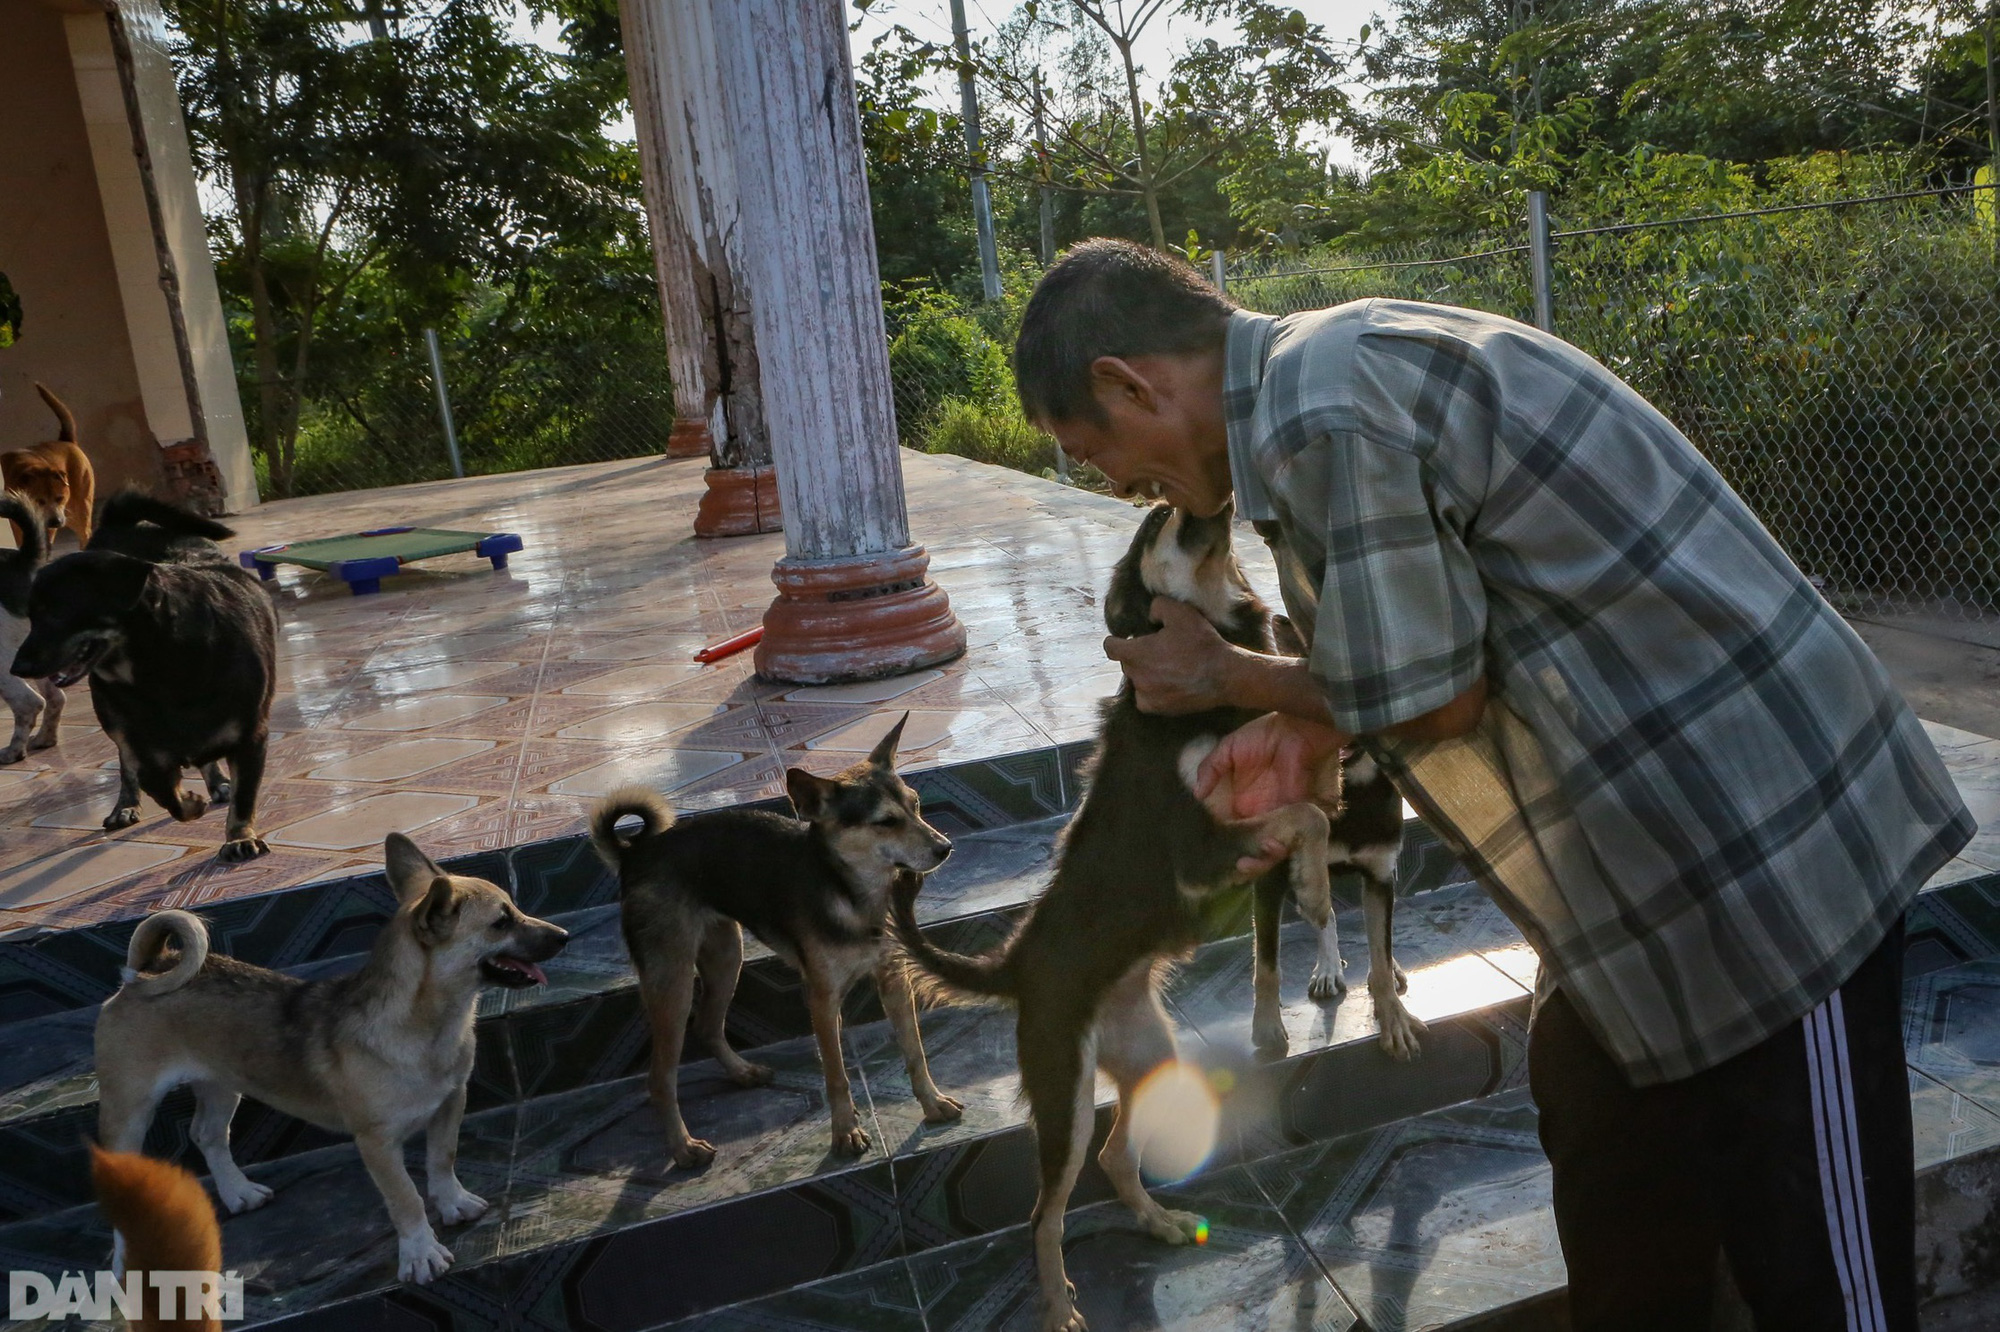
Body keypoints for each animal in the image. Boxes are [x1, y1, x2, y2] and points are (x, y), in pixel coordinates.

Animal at [1, 382, 94, 548]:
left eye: (60, 498)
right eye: (39, 501)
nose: (56, 521)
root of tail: (66, 441)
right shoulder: (18, 523)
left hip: (78, 509)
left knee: (85, 533)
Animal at [10, 492, 278, 856]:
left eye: (55, 614)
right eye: (31, 617)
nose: (16, 668)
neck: (161, 663)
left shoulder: (251, 736)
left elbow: (244, 796)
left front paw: (239, 837)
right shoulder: (142, 744)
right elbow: (160, 786)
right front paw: (190, 802)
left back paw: (218, 783)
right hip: (111, 717)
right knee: (126, 765)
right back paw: (125, 805)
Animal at [94, 836, 572, 1280]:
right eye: (501, 922)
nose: (564, 936)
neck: (428, 1026)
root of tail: (147, 970)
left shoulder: (450, 1105)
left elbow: (443, 1159)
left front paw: (453, 1203)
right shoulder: (377, 1143)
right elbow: (406, 1198)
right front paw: (420, 1252)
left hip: (221, 1083)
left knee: (207, 1134)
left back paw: (238, 1193)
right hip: (129, 1110)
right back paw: (124, 1259)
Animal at [588, 716, 964, 1160]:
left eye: (916, 805)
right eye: (885, 822)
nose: (945, 848)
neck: (853, 894)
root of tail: (635, 855)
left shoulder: (895, 981)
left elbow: (915, 1051)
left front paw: (932, 1103)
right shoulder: (821, 999)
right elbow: (836, 1074)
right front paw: (845, 1132)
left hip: (725, 957)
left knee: (708, 1026)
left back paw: (742, 1073)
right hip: (672, 982)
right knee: (660, 1077)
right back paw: (684, 1147)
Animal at [892, 504, 1408, 1328]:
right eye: (1161, 522)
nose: (1211, 500)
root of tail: (1015, 965)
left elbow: (1315, 804)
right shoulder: (1200, 845)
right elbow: (1304, 820)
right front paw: (1316, 893)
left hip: (1150, 1056)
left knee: (1112, 1157)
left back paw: (1159, 1223)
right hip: (1064, 1095)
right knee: (1044, 1214)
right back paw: (1059, 1306)